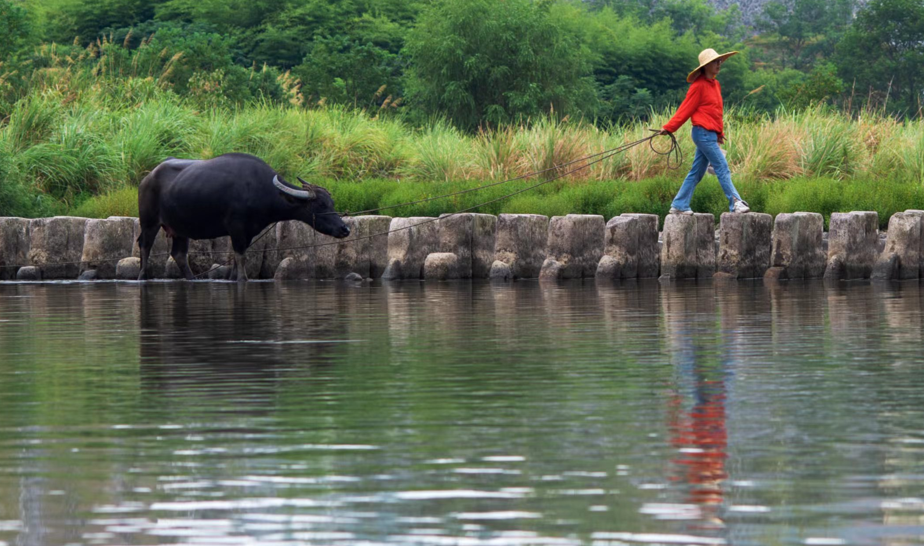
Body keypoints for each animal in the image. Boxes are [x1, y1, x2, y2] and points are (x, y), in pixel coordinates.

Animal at [137, 153, 350, 280]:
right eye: (321, 205)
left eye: (332, 203)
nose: (345, 228)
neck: (261, 190)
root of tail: (147, 178)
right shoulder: (237, 229)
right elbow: (240, 259)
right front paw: (241, 279)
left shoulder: (247, 233)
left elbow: (238, 258)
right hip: (149, 223)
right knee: (145, 246)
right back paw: (142, 276)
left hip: (180, 228)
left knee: (179, 254)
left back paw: (192, 279)